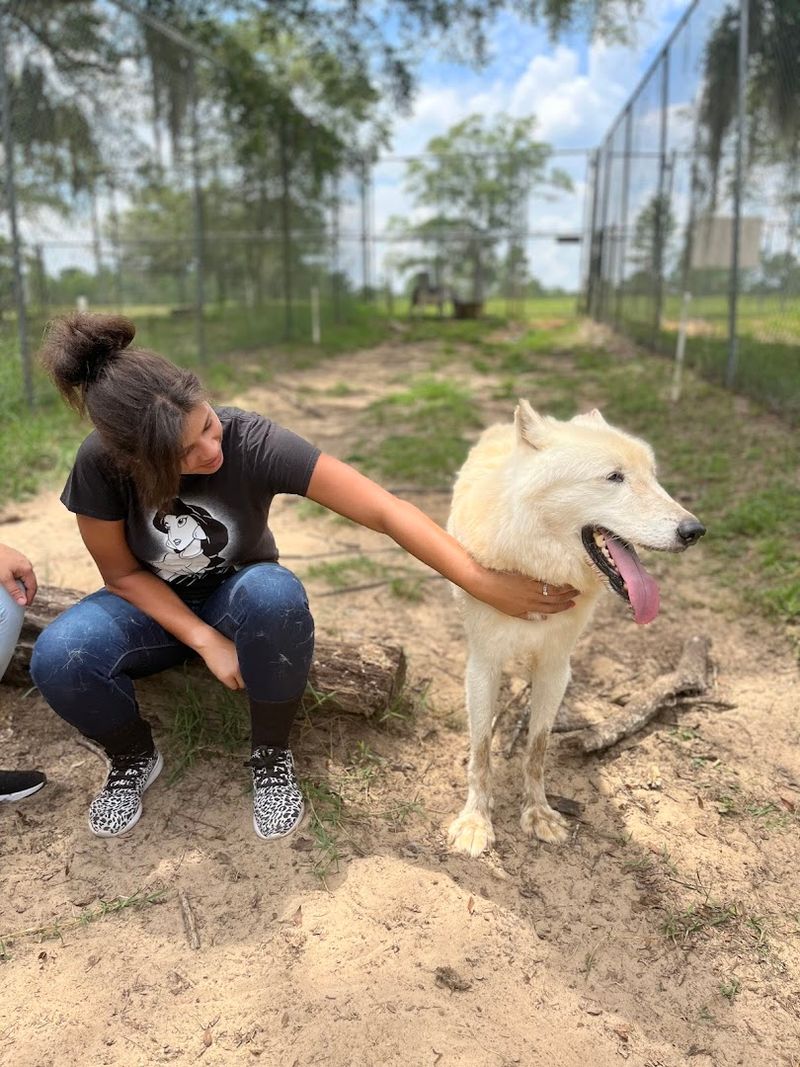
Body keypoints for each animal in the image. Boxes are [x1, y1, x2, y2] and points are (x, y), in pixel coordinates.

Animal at [447, 401, 705, 857]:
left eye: (653, 475)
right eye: (614, 477)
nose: (694, 531)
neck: (538, 573)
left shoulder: (556, 667)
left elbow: (537, 748)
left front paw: (539, 814)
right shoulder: (483, 665)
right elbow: (480, 753)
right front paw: (476, 822)